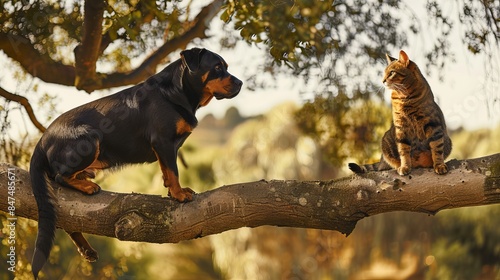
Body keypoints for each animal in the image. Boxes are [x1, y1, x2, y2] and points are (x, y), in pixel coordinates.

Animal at [30, 48, 243, 278]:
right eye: (217, 67)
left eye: (226, 66)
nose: (240, 83)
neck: (177, 92)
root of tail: (41, 141)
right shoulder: (163, 141)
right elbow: (174, 171)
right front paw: (179, 195)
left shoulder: (166, 147)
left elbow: (167, 172)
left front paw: (172, 192)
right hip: (90, 138)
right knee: (60, 176)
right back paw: (87, 187)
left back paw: (87, 248)